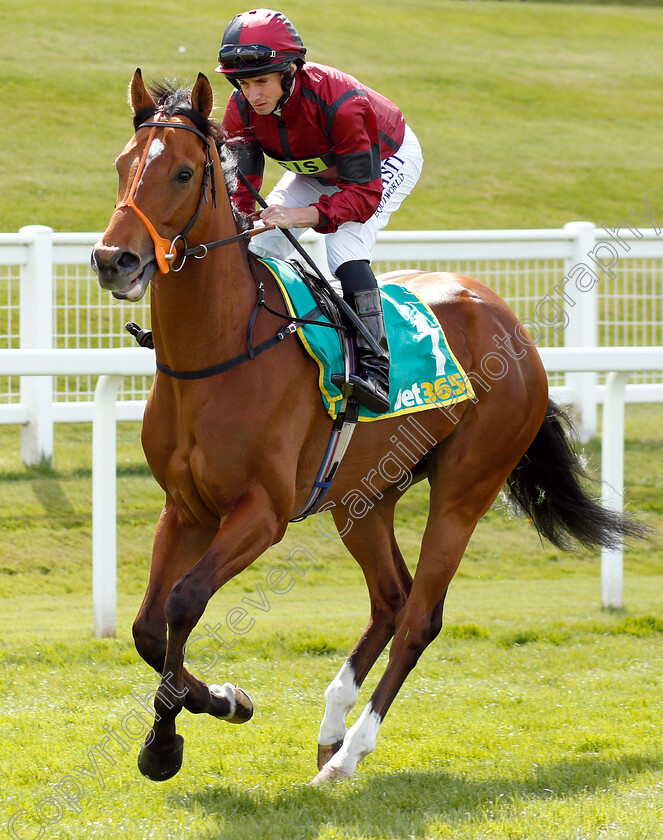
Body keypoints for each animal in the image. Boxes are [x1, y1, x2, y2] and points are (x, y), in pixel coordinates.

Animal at [91, 72, 640, 788]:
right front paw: (195, 719)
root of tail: (510, 321)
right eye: (123, 164)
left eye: (183, 172)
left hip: (465, 489)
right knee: (390, 597)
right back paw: (331, 728)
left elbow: (184, 604)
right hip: (363, 496)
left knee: (420, 615)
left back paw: (350, 752)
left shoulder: (262, 512)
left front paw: (191, 724)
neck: (220, 352)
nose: (114, 260)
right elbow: (149, 628)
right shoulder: (185, 507)